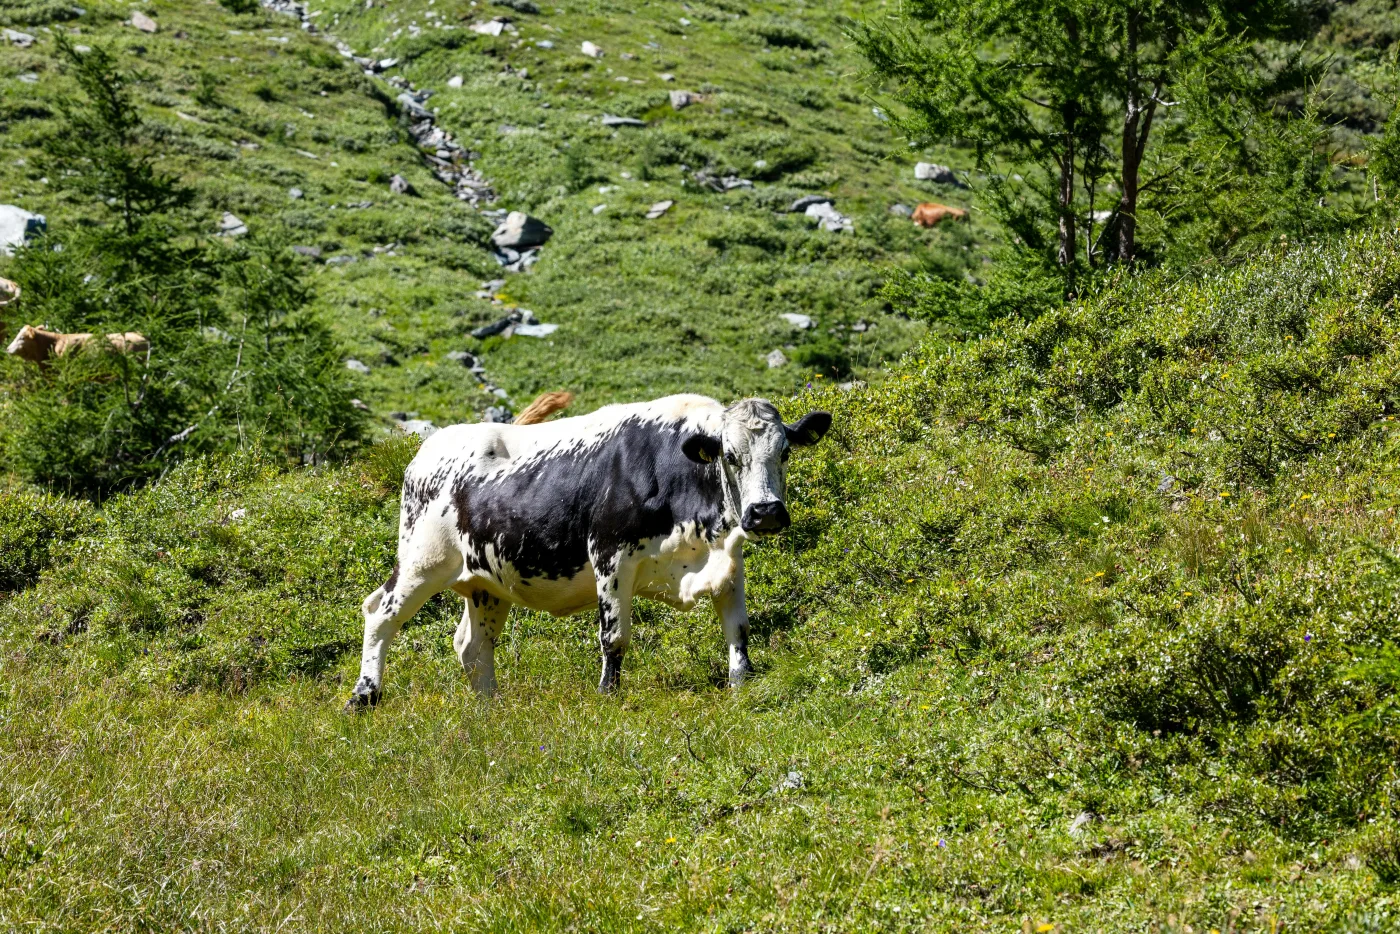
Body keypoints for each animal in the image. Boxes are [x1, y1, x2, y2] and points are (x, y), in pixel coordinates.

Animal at [346, 394, 832, 709]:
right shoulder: (610, 556)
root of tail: (426, 452)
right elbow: (614, 636)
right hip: (421, 562)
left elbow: (739, 630)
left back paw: (489, 707)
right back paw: (364, 696)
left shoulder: (727, 563)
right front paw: (607, 696)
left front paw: (741, 686)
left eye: (785, 452)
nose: (765, 512)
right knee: (380, 613)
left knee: (472, 645)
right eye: (730, 456)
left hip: (486, 583)